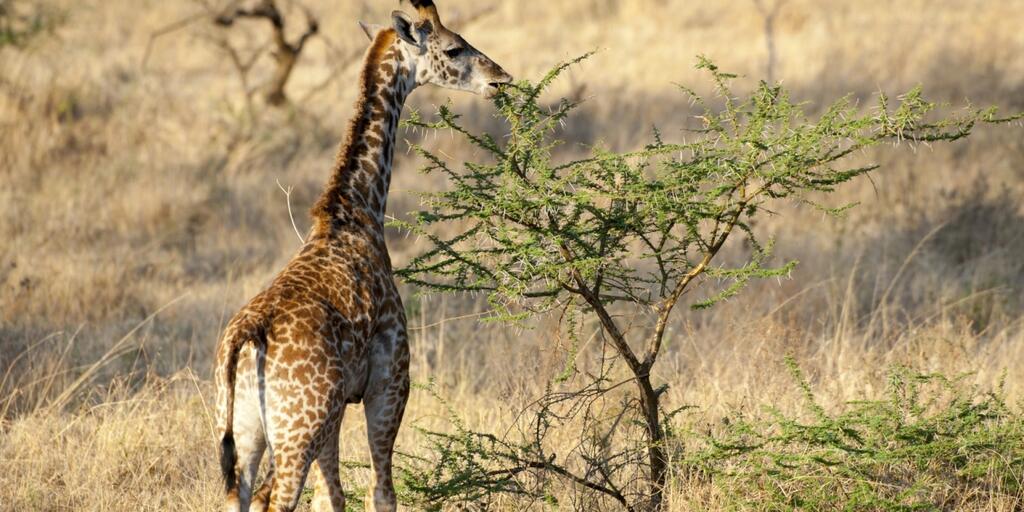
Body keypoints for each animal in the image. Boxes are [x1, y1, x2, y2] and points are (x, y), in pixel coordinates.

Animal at [212, 2, 512, 509]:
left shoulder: (336, 413)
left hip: (243, 431)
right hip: (298, 430)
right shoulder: (389, 382)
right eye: (454, 47)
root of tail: (245, 339)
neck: (355, 212)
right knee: (281, 497)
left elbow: (332, 496)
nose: (501, 77)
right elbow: (379, 491)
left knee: (243, 495)